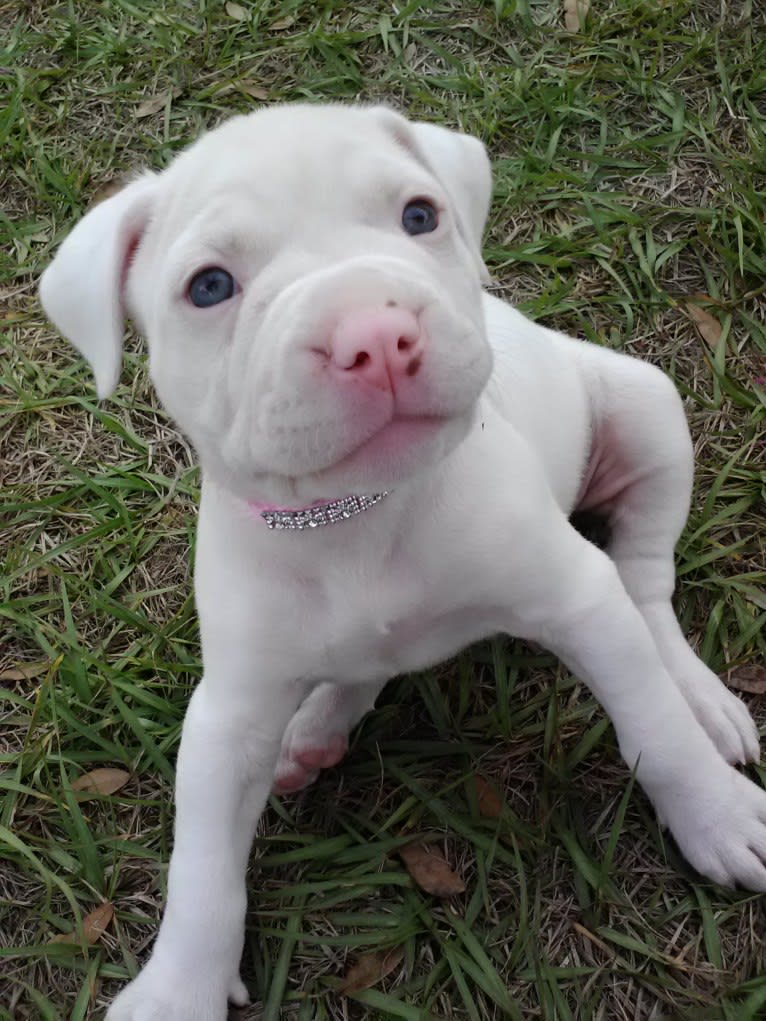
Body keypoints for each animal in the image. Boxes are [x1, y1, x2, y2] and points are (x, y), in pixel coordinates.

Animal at [40, 105, 763, 1021]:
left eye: (420, 215)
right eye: (208, 287)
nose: (375, 335)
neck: (356, 513)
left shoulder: (576, 597)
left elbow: (655, 725)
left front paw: (717, 815)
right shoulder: (227, 715)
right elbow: (200, 868)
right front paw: (177, 989)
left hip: (644, 407)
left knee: (645, 585)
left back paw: (703, 698)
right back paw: (316, 726)